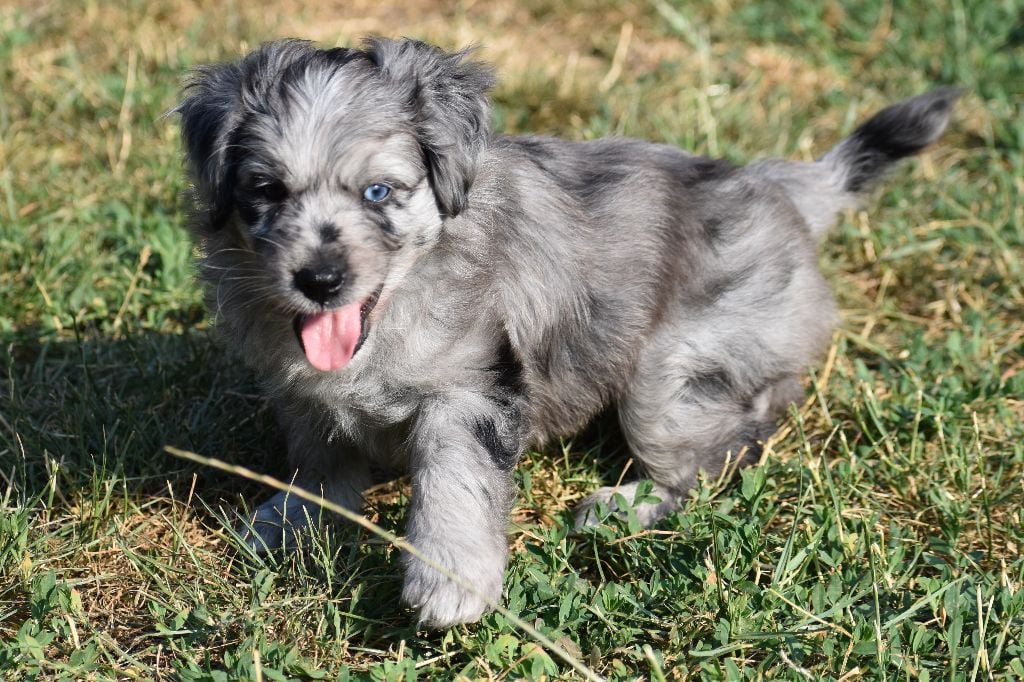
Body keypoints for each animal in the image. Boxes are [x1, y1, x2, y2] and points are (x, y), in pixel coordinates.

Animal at [176, 37, 956, 627]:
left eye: (378, 193)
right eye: (267, 192)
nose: (320, 279)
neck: (397, 308)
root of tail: (782, 190)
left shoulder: (472, 390)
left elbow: (455, 481)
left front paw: (450, 578)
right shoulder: (304, 395)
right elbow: (322, 461)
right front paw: (296, 519)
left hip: (668, 379)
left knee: (724, 449)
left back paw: (622, 506)